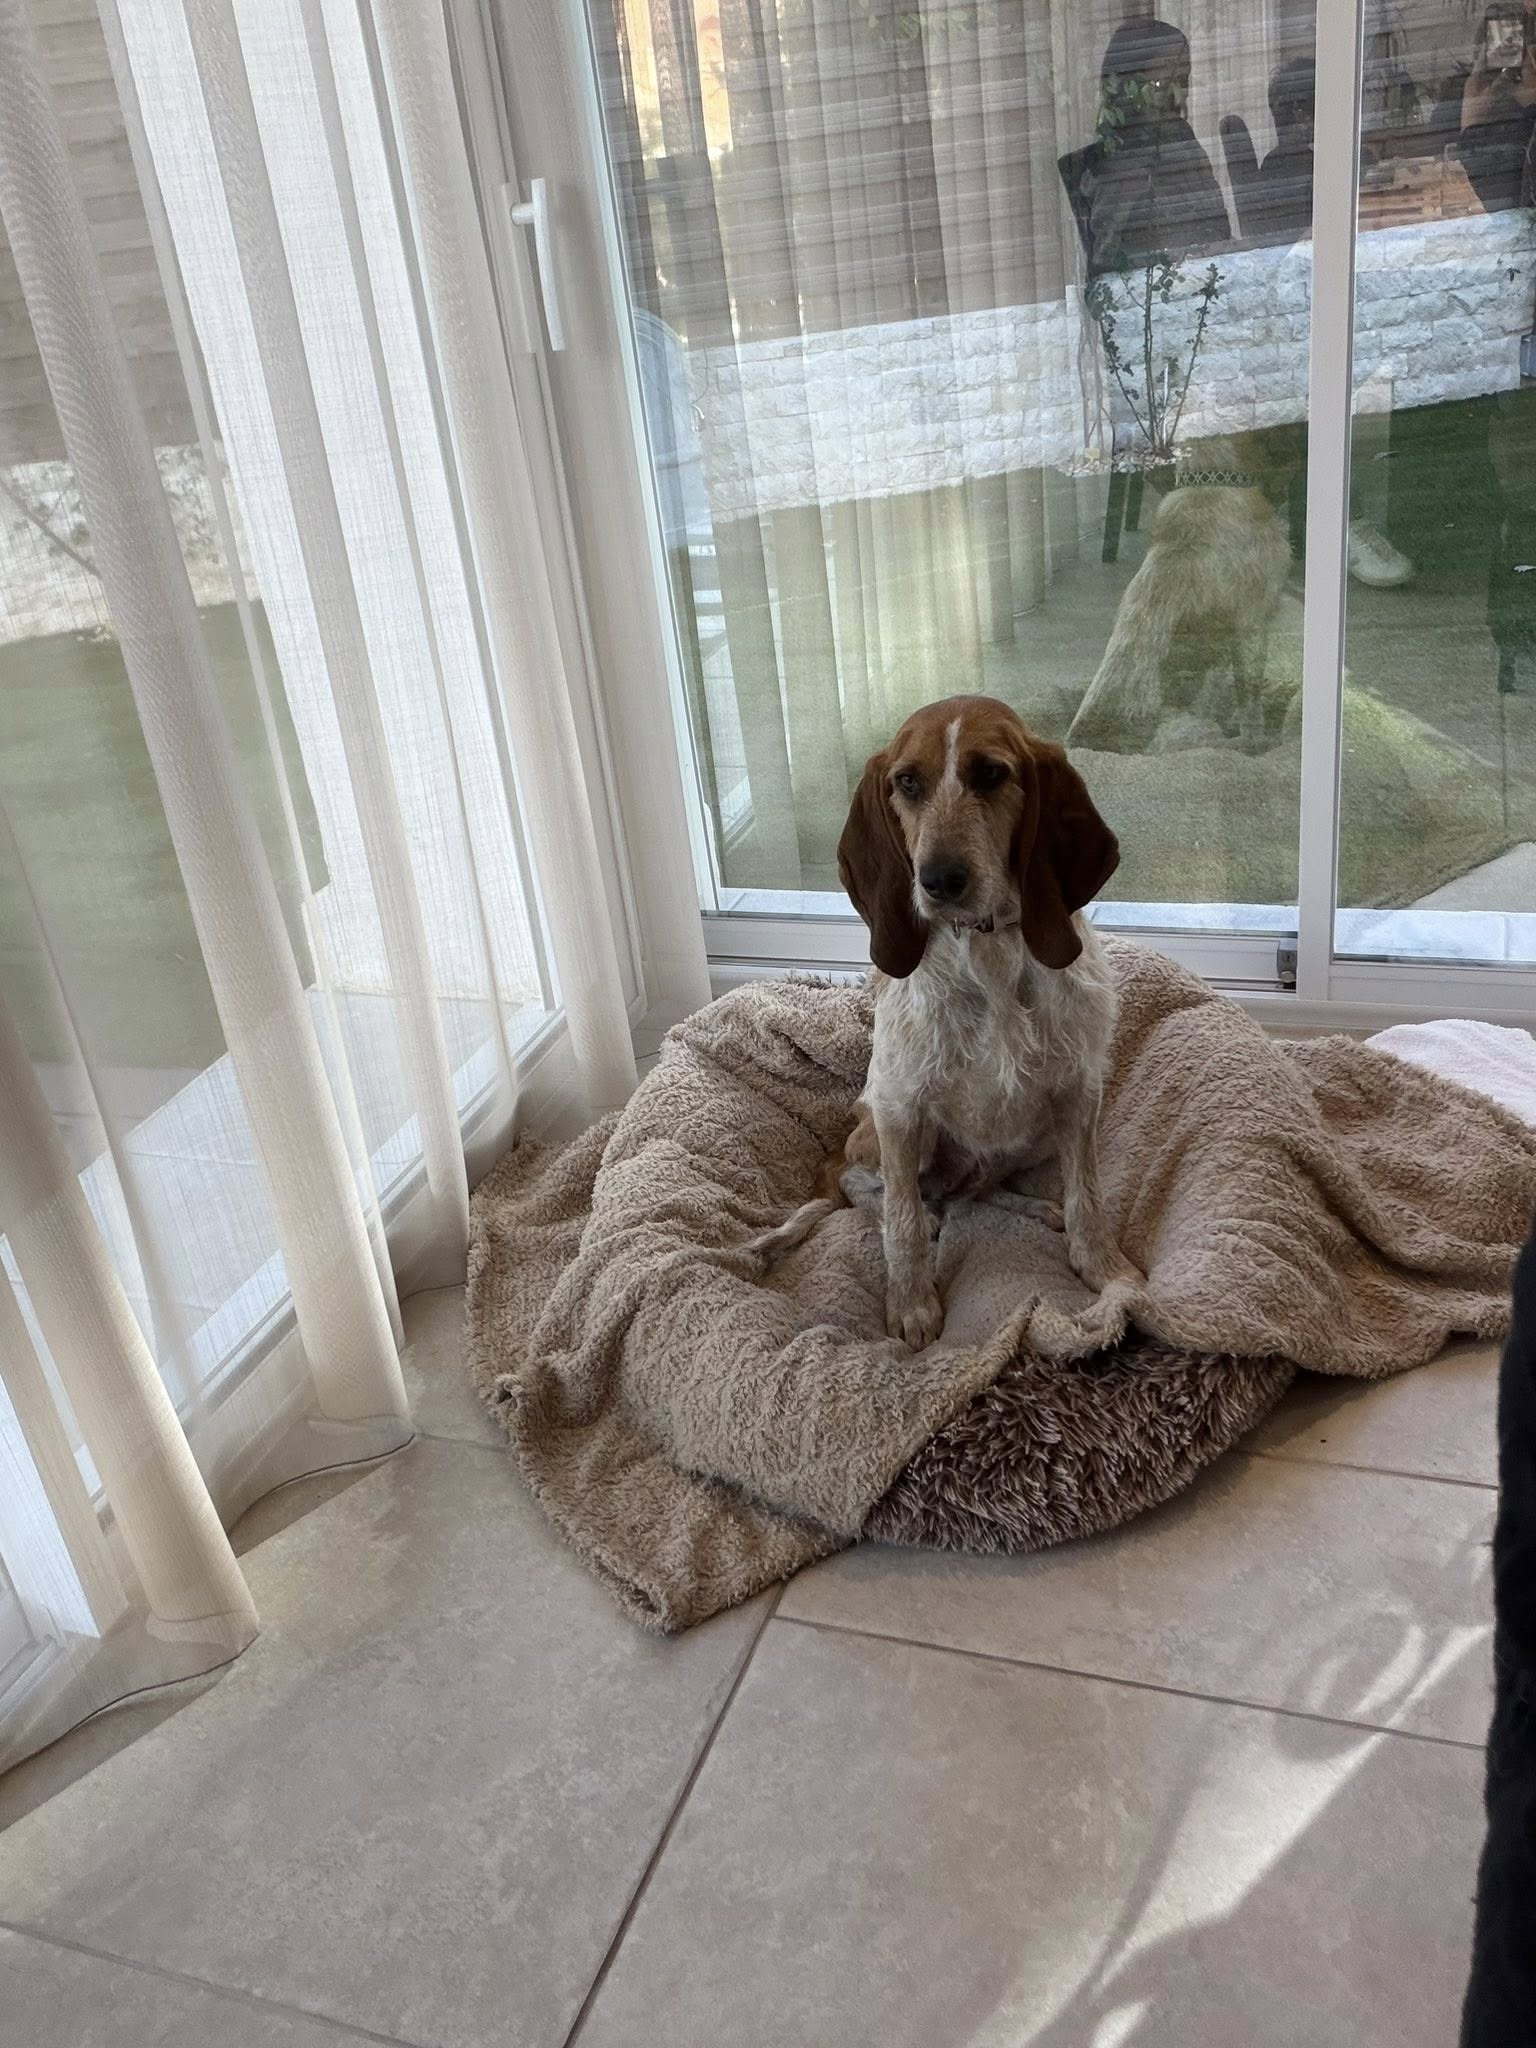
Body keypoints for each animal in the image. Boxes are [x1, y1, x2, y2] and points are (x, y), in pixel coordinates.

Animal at [750, 695, 1140, 1350]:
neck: (987, 952)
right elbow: (901, 1223)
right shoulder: (900, 1110)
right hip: (896, 1135)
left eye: (990, 774)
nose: (938, 880)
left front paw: (1103, 1268)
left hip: (1030, 1135)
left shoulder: (1078, 1095)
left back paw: (1033, 1208)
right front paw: (911, 1305)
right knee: (867, 1188)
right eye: (907, 782)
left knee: (977, 1195)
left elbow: (1086, 1195)